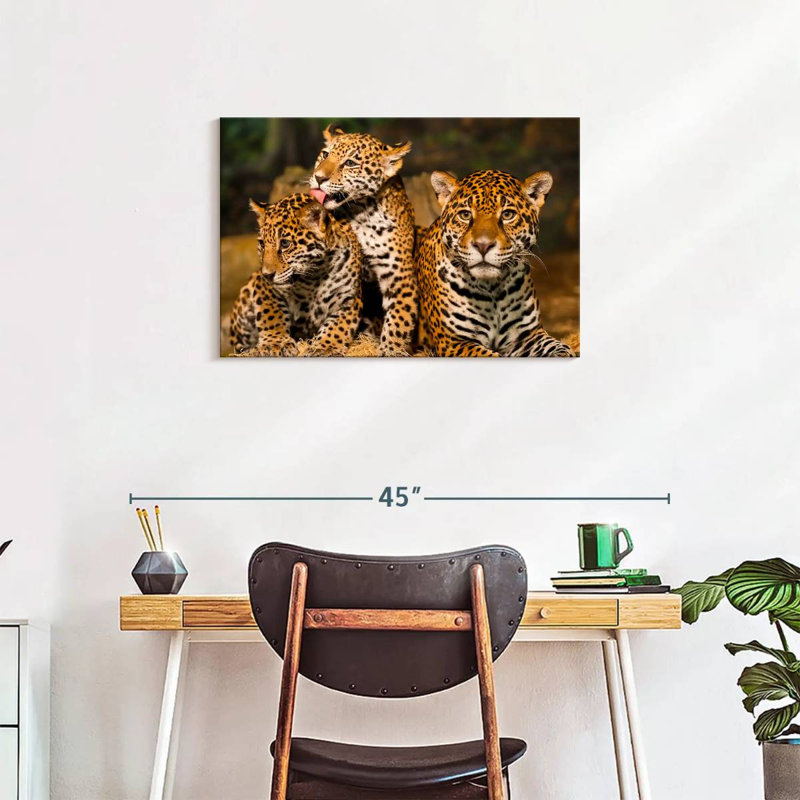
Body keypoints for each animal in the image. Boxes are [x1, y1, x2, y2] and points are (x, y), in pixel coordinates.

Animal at [230, 193, 362, 357]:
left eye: (285, 244)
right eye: (262, 244)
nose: (267, 275)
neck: (315, 276)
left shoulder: (349, 298)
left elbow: (338, 326)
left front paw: (325, 347)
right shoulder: (265, 288)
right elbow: (271, 314)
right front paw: (275, 343)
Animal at [309, 125, 417, 356]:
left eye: (350, 163)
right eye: (325, 154)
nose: (318, 178)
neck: (362, 213)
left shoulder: (400, 276)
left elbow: (399, 319)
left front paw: (391, 350)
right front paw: (324, 346)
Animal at [417, 169, 575, 358]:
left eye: (507, 215)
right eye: (465, 215)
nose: (483, 245)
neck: (492, 289)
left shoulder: (528, 336)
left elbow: (559, 348)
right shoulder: (453, 342)